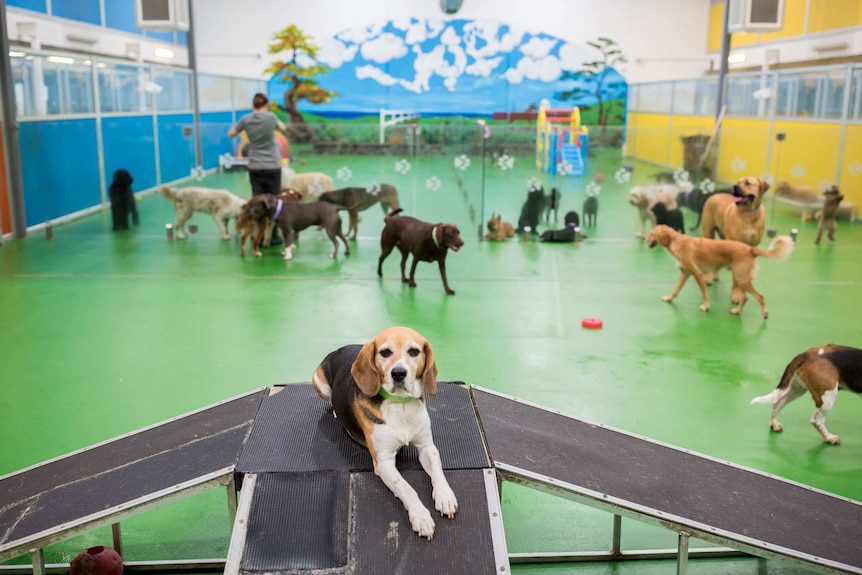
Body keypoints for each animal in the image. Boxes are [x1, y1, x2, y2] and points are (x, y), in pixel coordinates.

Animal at [312, 328, 460, 540]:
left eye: (414, 351)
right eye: (385, 352)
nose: (398, 373)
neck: (401, 404)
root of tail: (341, 348)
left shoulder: (427, 447)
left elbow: (437, 469)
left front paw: (445, 496)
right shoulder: (384, 462)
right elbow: (407, 488)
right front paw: (421, 516)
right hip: (319, 382)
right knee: (330, 398)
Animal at [644, 225, 792, 320]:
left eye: (651, 232)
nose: (644, 238)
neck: (677, 241)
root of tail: (750, 249)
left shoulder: (698, 274)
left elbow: (705, 293)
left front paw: (706, 306)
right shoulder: (685, 274)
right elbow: (676, 290)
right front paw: (669, 298)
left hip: (742, 280)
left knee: (759, 296)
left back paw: (764, 313)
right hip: (740, 280)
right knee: (745, 298)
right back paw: (737, 311)